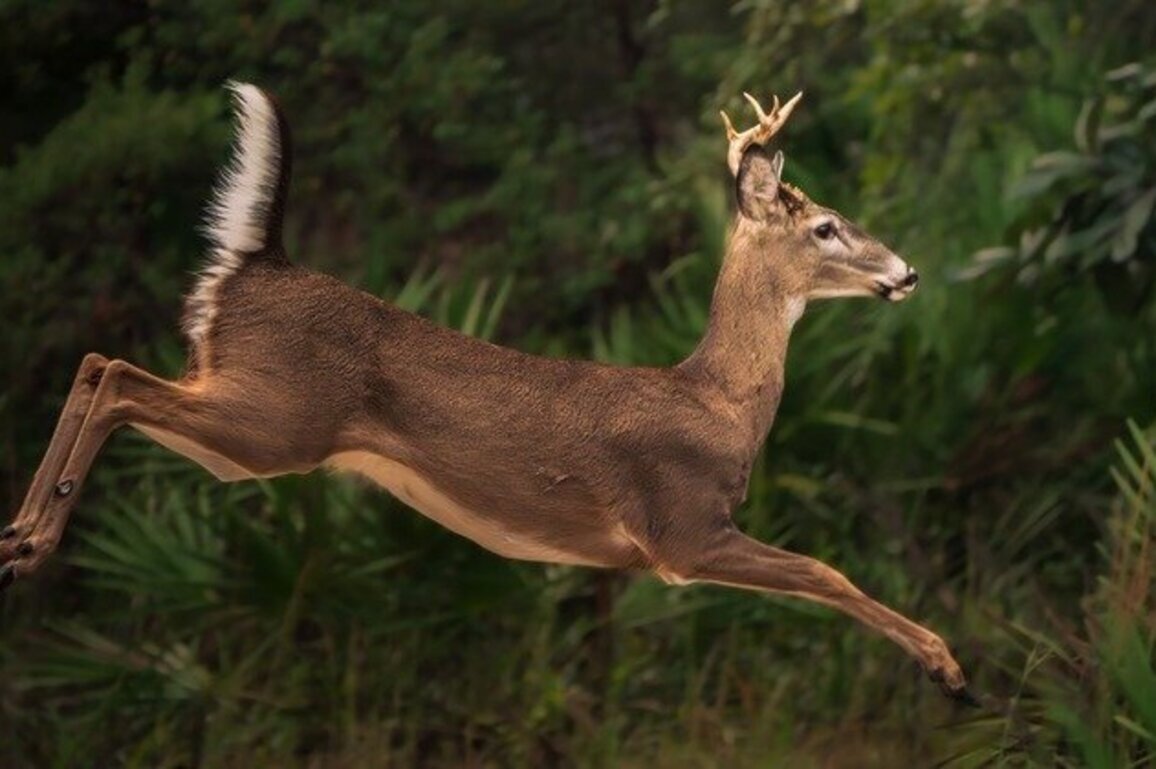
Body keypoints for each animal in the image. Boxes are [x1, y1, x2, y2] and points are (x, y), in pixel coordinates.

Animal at [0, 83, 974, 704]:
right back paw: (33, 538)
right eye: (827, 225)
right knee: (116, 373)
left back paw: (16, 537)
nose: (908, 272)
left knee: (97, 363)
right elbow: (825, 568)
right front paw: (950, 670)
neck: (719, 400)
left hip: (248, 418)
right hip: (275, 419)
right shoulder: (682, 528)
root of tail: (255, 261)